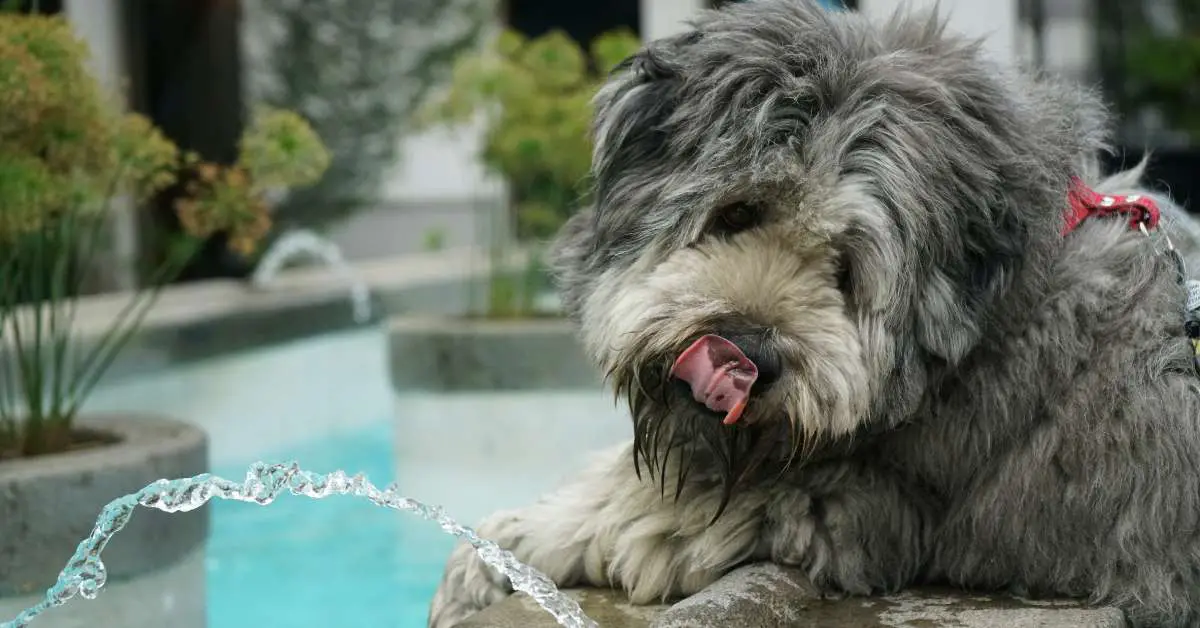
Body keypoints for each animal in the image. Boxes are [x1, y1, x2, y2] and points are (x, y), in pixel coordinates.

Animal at [432, 2, 1200, 624]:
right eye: (737, 212)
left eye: (846, 270)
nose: (745, 354)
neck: (980, 336)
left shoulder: (849, 501)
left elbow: (631, 510)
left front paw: (495, 553)